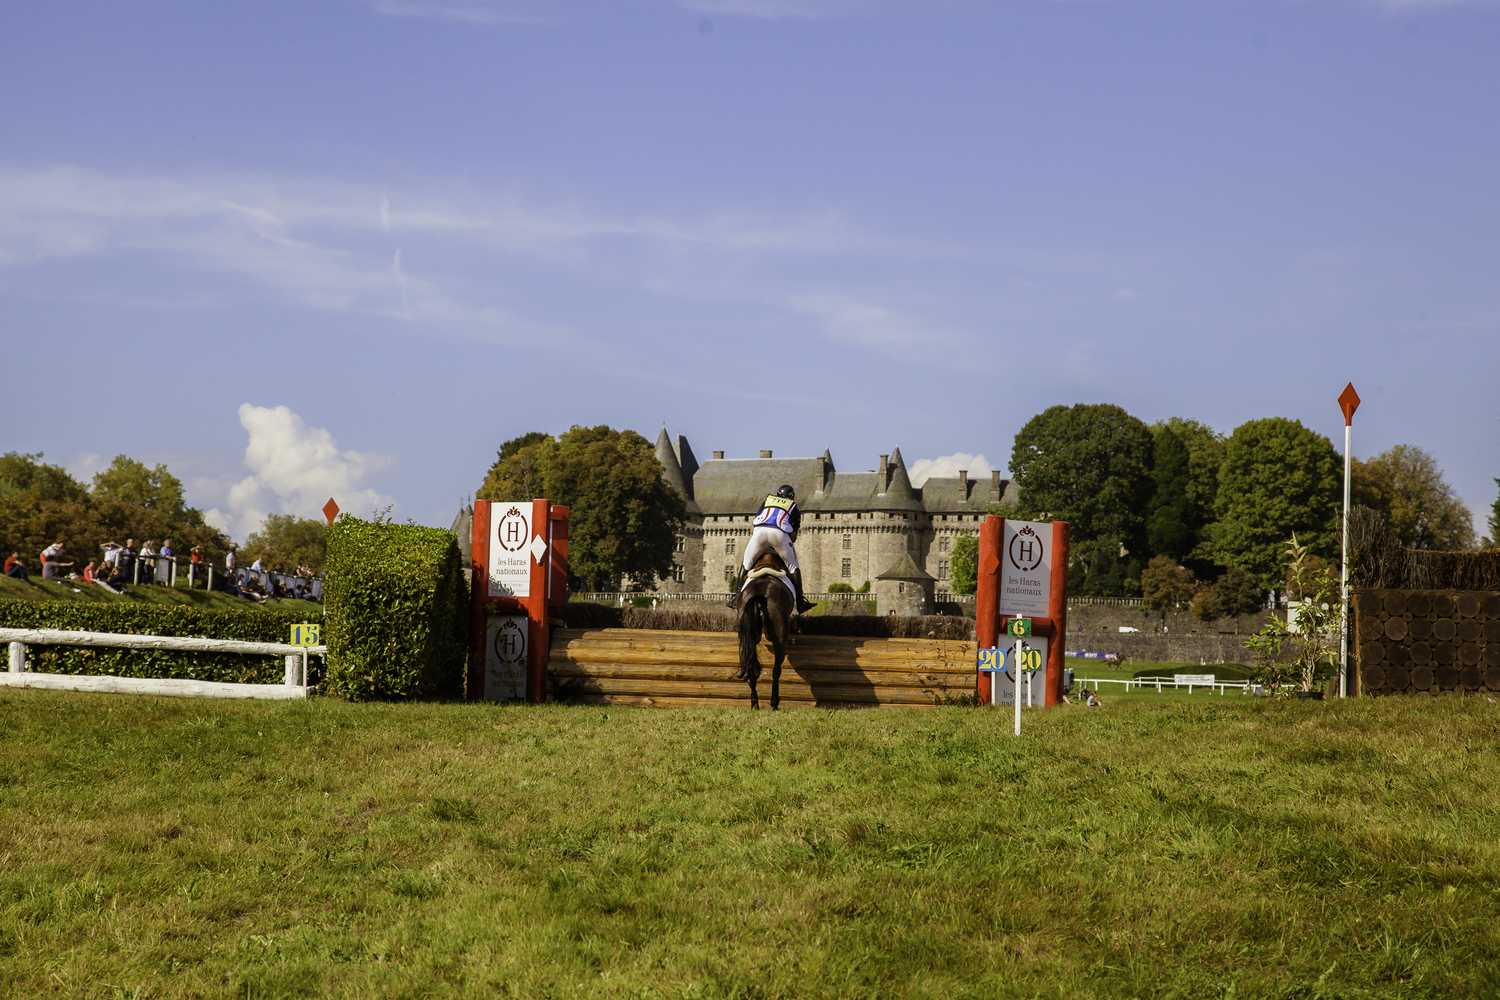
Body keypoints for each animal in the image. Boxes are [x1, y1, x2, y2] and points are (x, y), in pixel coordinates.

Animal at [735, 551, 798, 707]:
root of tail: (760, 593)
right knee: (776, 670)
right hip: (780, 638)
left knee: (751, 667)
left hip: (744, 637)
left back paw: (754, 703)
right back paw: (774, 702)